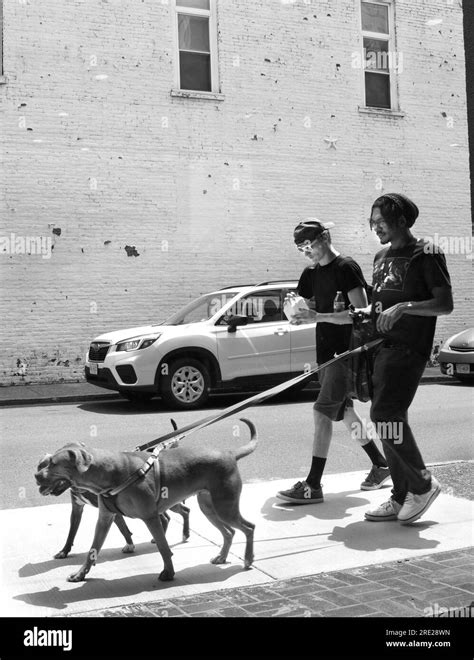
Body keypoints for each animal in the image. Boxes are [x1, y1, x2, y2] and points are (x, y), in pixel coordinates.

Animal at [34, 418, 258, 584]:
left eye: (53, 463)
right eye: (44, 463)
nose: (35, 476)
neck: (109, 474)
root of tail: (230, 453)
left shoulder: (150, 517)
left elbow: (163, 547)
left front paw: (168, 573)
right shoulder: (105, 518)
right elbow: (92, 550)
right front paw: (81, 574)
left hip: (225, 506)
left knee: (249, 527)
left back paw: (248, 559)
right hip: (210, 507)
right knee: (229, 532)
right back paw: (222, 556)